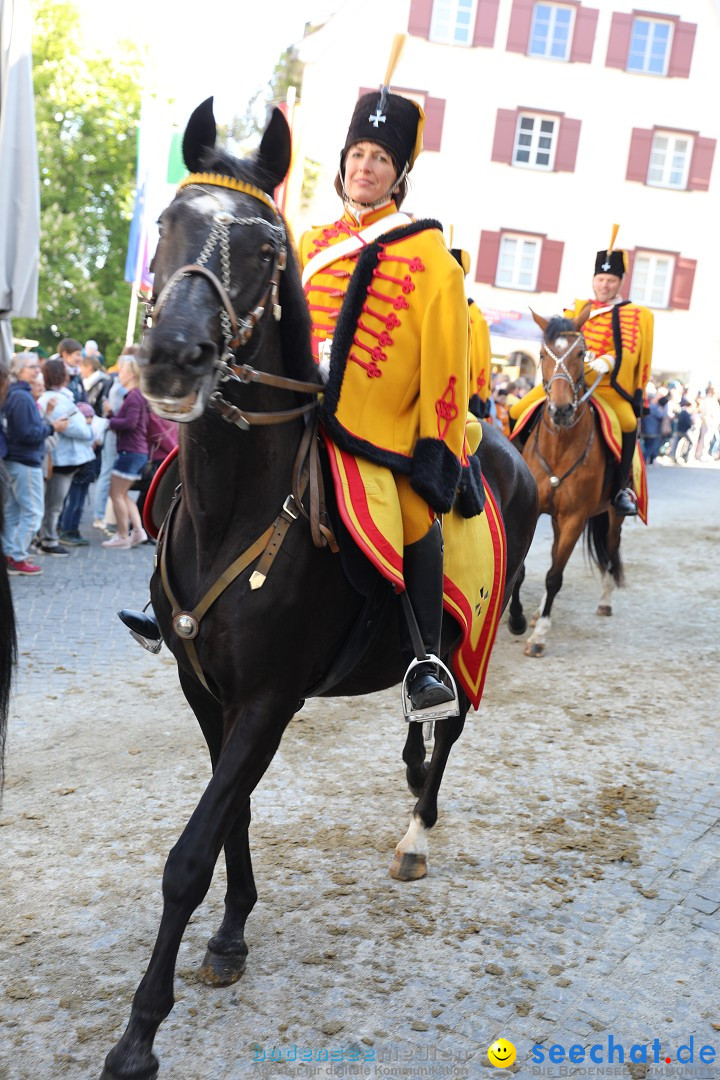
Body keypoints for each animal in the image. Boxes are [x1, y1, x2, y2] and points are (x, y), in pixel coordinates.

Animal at [102, 101, 539, 1080]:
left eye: (266, 246)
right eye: (166, 220)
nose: (173, 358)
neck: (237, 509)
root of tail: (497, 437)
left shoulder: (270, 697)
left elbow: (189, 853)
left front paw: (141, 1032)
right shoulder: (207, 691)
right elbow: (231, 815)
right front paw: (231, 933)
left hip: (472, 634)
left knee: (451, 719)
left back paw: (417, 831)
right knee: (422, 729)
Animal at [507, 306, 626, 656]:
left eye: (581, 354)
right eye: (542, 354)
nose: (561, 410)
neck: (560, 445)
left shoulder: (574, 518)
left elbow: (554, 577)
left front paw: (539, 636)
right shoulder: (533, 512)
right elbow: (522, 569)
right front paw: (518, 618)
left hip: (611, 515)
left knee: (611, 550)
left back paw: (604, 601)